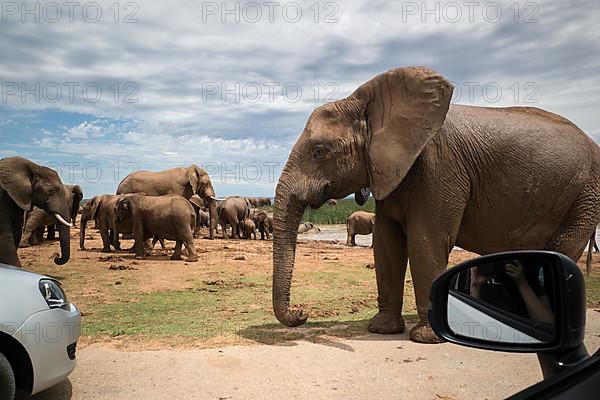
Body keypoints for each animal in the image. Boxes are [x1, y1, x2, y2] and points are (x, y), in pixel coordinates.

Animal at [272, 66, 600, 344]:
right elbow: (387, 242)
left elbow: (425, 241)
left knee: (563, 249)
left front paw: (425, 338)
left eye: (319, 151)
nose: (302, 313)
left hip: (584, 195)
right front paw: (382, 330)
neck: (370, 105)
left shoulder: (439, 166)